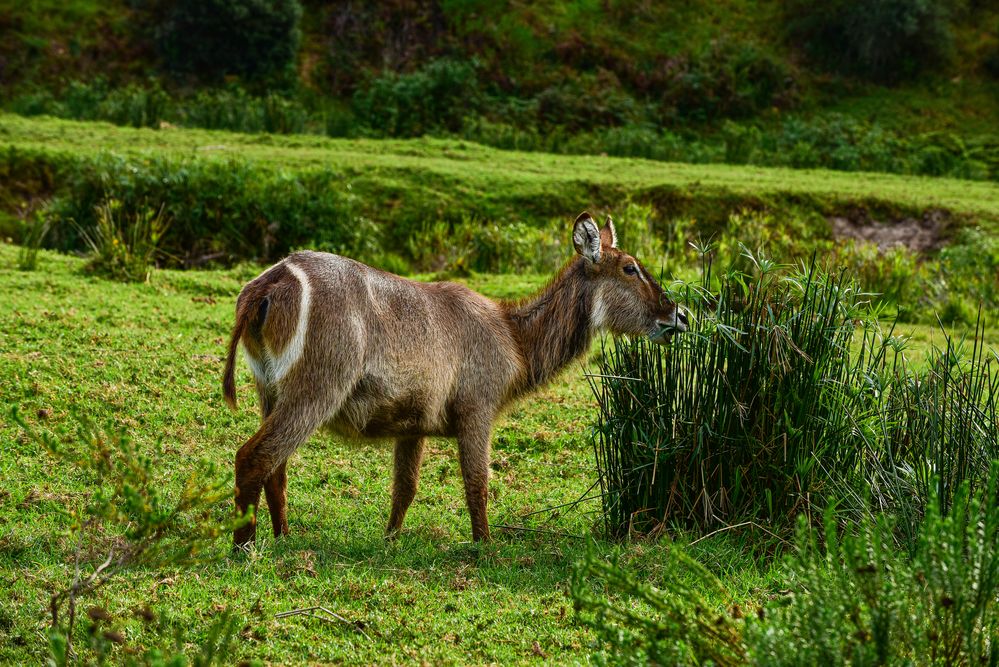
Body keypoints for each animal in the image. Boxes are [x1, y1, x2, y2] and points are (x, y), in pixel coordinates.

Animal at [221, 213, 688, 548]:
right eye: (630, 268)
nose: (679, 314)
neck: (514, 340)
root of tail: (268, 283)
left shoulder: (412, 425)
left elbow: (405, 489)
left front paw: (390, 541)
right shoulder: (477, 410)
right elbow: (477, 484)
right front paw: (486, 548)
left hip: (270, 390)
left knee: (276, 468)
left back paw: (284, 538)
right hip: (318, 387)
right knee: (252, 457)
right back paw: (246, 547)